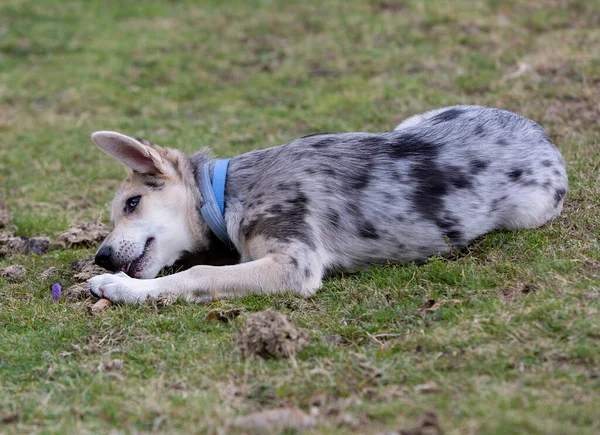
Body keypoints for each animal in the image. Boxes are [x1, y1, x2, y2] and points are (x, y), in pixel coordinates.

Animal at [88, 105, 568, 304]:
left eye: (132, 203)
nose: (101, 257)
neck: (226, 194)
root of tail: (539, 132)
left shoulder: (294, 264)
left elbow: (199, 273)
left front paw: (119, 287)